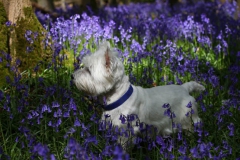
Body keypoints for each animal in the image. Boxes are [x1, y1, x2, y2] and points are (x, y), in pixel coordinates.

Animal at [72, 40, 205, 144]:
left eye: (89, 70)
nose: (72, 76)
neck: (117, 98)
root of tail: (184, 88)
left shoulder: (126, 131)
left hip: (187, 118)